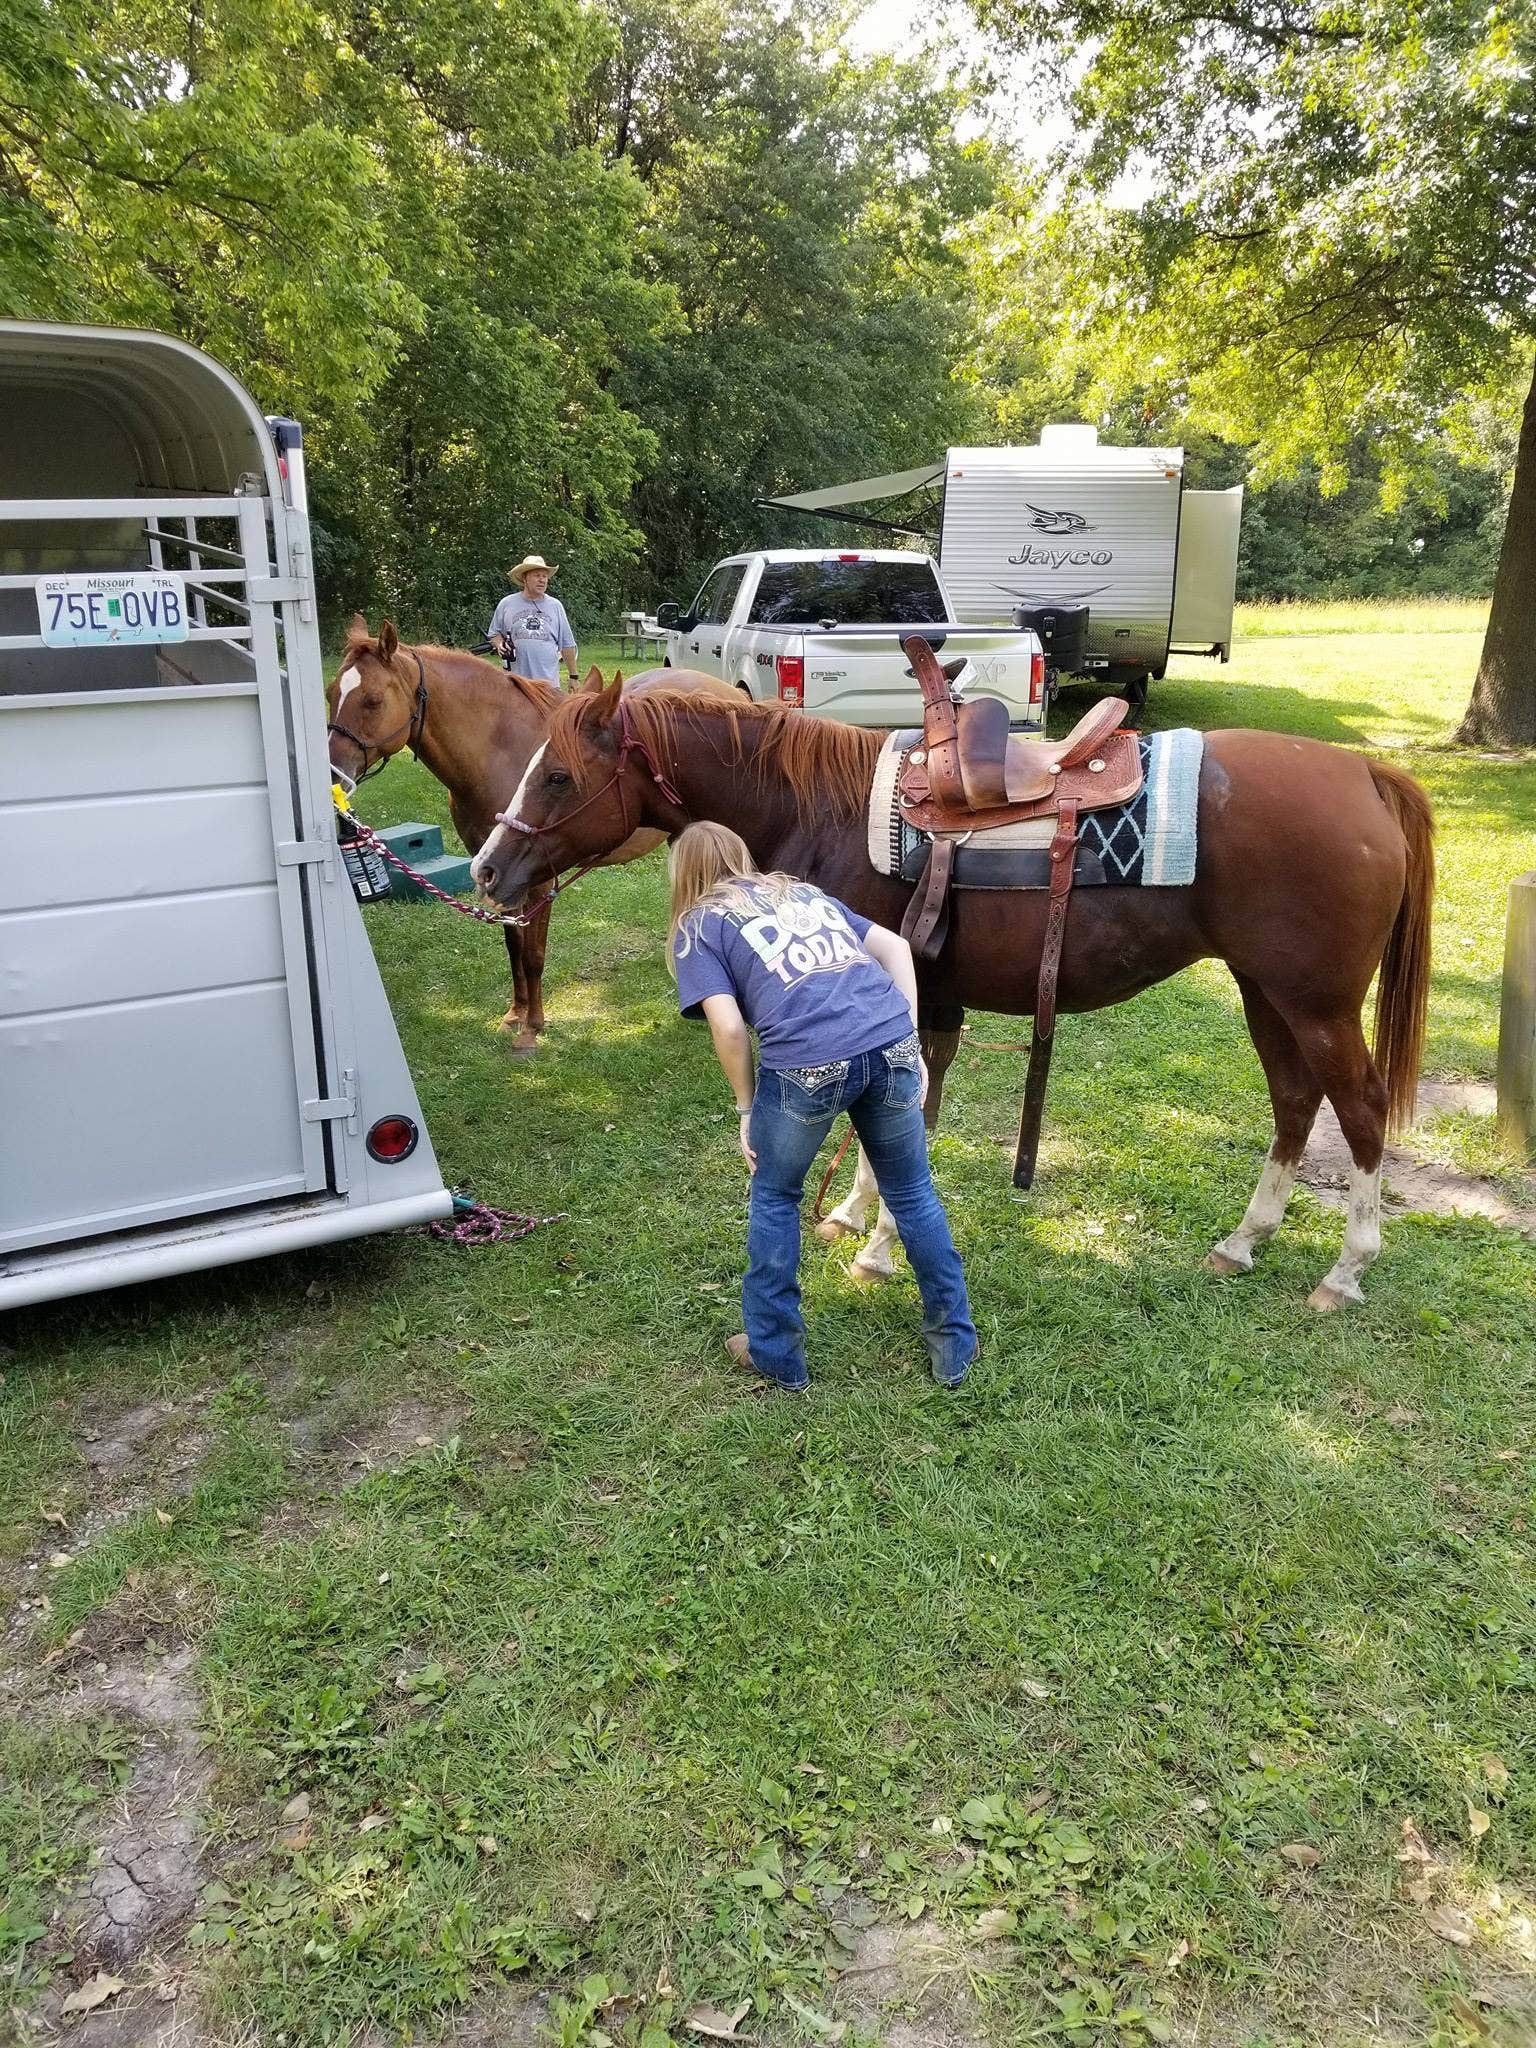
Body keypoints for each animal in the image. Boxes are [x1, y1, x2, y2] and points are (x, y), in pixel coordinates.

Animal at [326, 619, 733, 1049]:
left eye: (371, 701)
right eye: (331, 693)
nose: (332, 773)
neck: (502, 753)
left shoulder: (536, 882)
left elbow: (533, 955)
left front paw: (532, 1026)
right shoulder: (497, 876)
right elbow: (513, 948)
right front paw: (514, 1014)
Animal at [468, 680, 1434, 1311]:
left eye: (557, 775)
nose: (486, 868)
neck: (818, 809)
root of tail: (1366, 775)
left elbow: (903, 1122)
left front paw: (880, 1246)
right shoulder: (921, 1002)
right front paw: (856, 1214)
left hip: (1315, 1004)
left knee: (1358, 1108)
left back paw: (1346, 1269)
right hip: (1265, 993)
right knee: (1294, 1101)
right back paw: (1243, 1241)